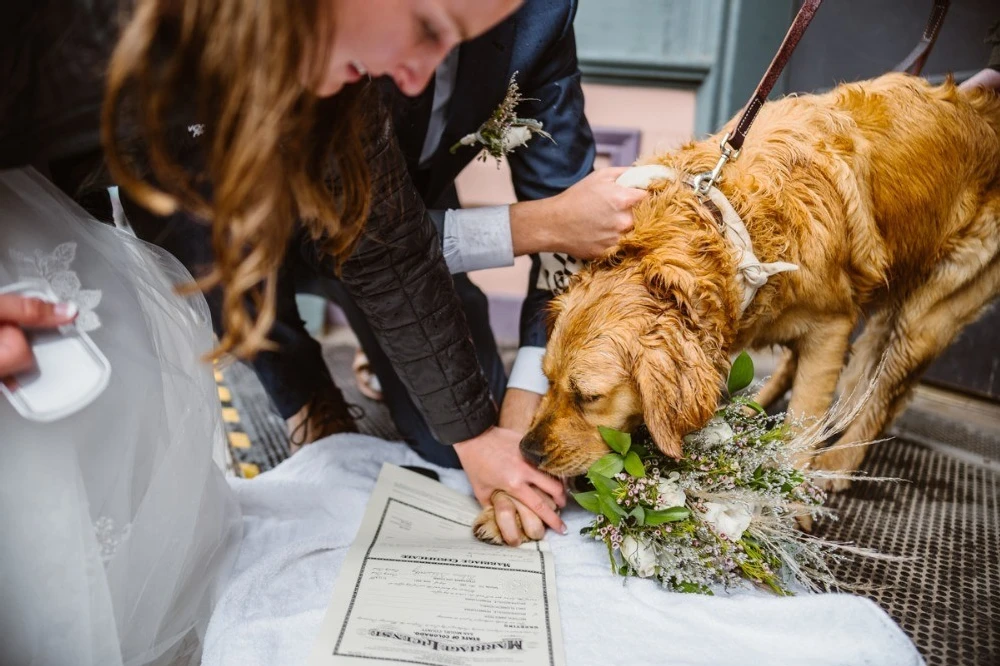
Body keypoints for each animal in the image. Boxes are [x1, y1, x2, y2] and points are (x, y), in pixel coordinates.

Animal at [472, 72, 1000, 544]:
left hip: (929, 308)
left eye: (589, 397)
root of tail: (983, 107)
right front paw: (508, 503)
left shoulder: (832, 325)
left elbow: (804, 421)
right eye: (547, 380)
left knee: (883, 383)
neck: (726, 222)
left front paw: (788, 502)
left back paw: (838, 462)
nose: (527, 451)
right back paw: (754, 407)